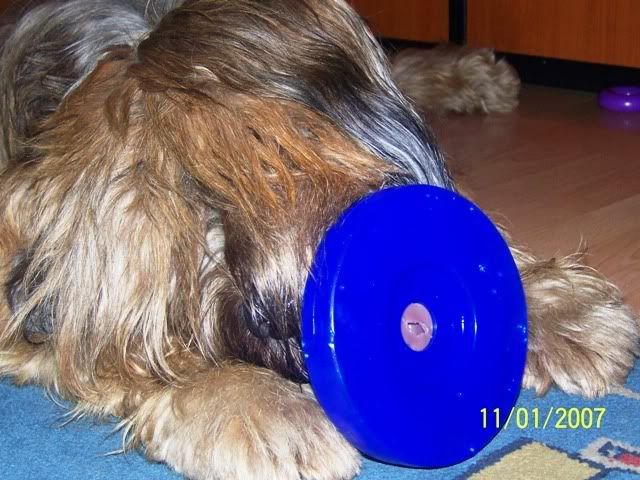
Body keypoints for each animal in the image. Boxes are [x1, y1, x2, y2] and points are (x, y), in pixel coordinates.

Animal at [0, 1, 637, 479]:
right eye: (184, 208)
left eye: (266, 153)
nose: (270, 317)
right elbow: (111, 351)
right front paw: (256, 403)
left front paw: (559, 309)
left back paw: (482, 75)